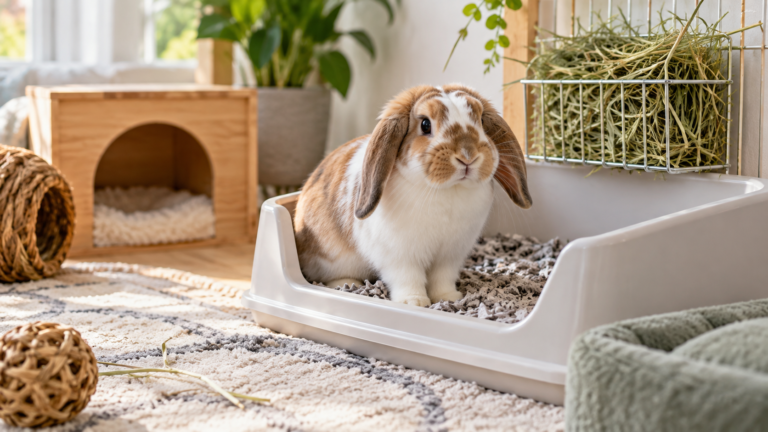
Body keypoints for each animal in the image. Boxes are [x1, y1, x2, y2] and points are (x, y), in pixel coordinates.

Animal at [293, 84, 532, 306]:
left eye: (481, 120)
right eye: (425, 124)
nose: (468, 156)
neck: (448, 190)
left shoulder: (450, 255)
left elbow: (442, 278)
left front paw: (449, 298)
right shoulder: (399, 256)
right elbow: (407, 278)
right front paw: (414, 302)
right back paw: (348, 284)